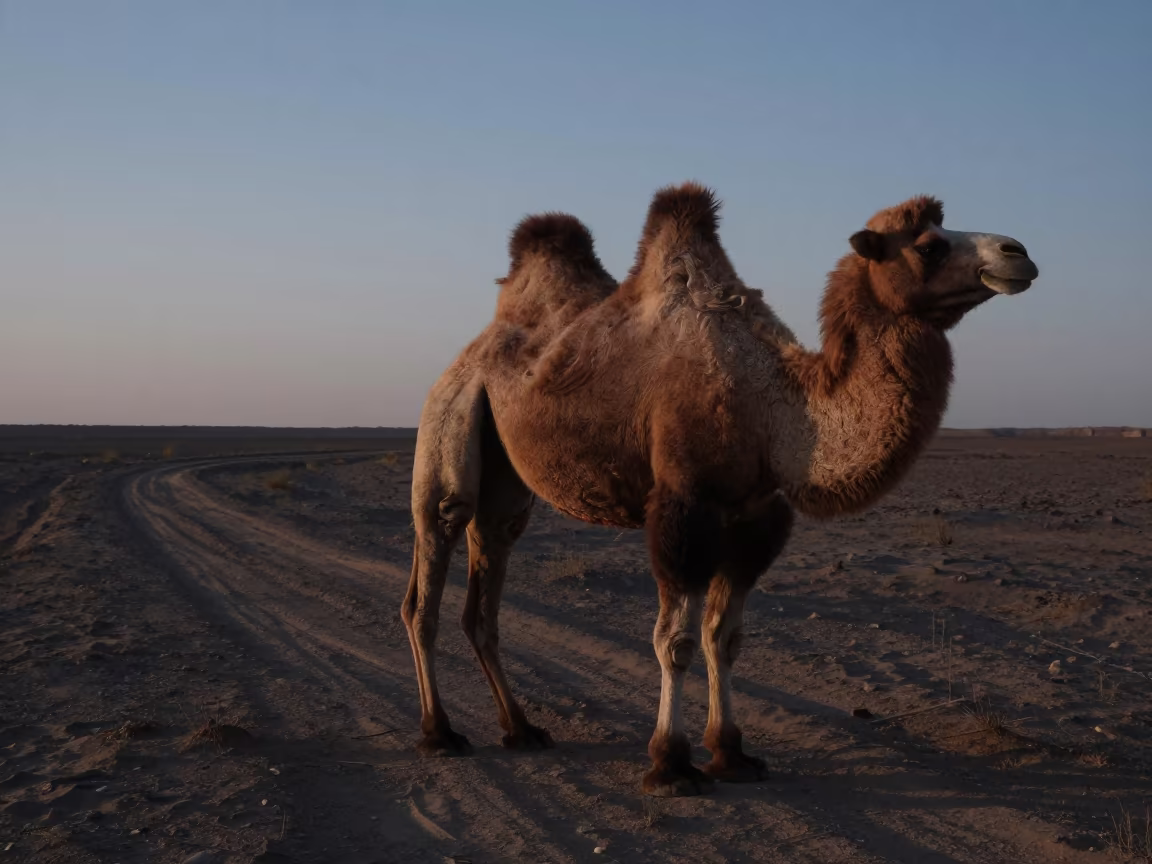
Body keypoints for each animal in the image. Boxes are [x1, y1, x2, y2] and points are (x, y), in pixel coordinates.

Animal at [402, 182, 1039, 796]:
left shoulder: (754, 518)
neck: (774, 409)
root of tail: (469, 355)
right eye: (928, 245)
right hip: (447, 421)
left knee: (488, 578)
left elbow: (724, 638)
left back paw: (522, 729)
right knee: (431, 565)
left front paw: (731, 752)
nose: (1019, 254)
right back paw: (439, 733)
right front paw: (670, 764)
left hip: (506, 481)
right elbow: (675, 641)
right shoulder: (684, 511)